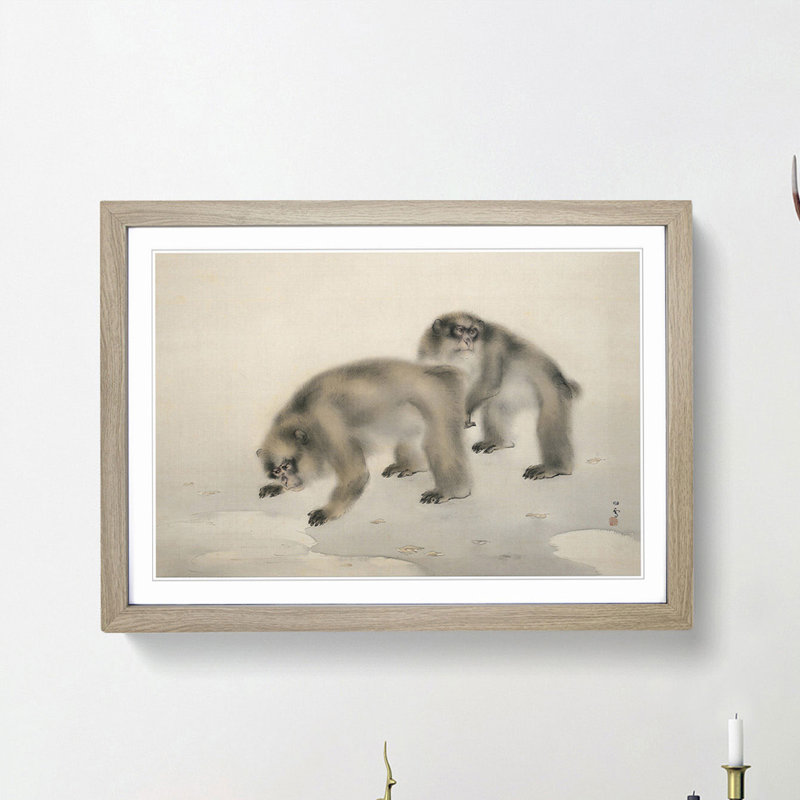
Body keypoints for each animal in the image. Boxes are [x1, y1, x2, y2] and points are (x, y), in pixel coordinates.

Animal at [256, 359, 472, 527]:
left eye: (286, 466)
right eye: (277, 471)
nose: (285, 480)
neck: (304, 417)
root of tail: (432, 371)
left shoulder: (329, 424)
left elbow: (356, 474)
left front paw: (329, 510)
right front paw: (275, 486)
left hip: (437, 393)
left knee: (438, 438)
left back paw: (453, 491)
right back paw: (412, 464)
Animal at [418, 312, 580, 481]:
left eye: (473, 332)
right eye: (460, 329)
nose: (468, 340)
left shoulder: (493, 344)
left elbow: (489, 382)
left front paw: (463, 413)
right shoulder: (427, 352)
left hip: (555, 391)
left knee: (549, 420)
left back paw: (555, 468)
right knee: (494, 406)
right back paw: (499, 442)